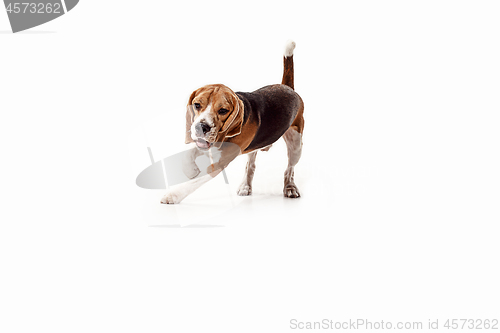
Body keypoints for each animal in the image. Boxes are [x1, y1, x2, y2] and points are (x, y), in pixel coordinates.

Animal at [160, 40, 302, 204]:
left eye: (223, 110)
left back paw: (290, 187)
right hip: (254, 148)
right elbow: (188, 154)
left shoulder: (219, 164)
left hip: (296, 145)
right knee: (250, 166)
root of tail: (287, 87)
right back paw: (245, 186)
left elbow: (193, 182)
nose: (201, 127)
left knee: (289, 169)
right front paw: (191, 170)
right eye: (197, 105)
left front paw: (173, 195)